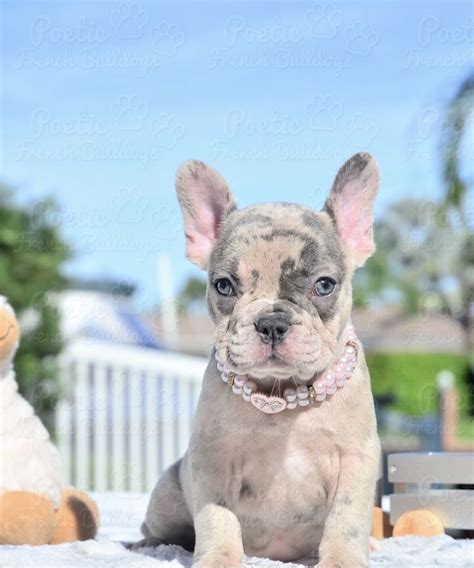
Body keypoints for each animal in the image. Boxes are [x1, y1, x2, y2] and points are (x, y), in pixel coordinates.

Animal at [137, 153, 382, 564]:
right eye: (224, 286)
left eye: (324, 285)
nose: (271, 322)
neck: (283, 394)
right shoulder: (213, 458)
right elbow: (216, 517)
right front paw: (218, 558)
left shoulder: (355, 457)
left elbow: (347, 518)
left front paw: (343, 559)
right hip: (166, 498)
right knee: (161, 528)